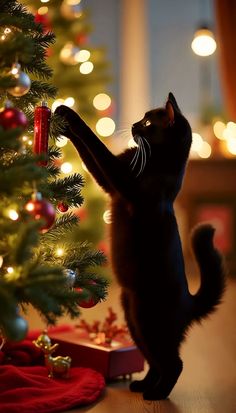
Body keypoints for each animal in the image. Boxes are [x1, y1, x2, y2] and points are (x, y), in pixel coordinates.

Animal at [54, 93, 225, 400]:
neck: (159, 162)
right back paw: (143, 385)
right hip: (133, 317)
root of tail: (189, 302)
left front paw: (70, 115)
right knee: (154, 361)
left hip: (148, 320)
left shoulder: (122, 180)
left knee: (174, 363)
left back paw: (157, 394)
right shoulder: (111, 185)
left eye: (147, 123)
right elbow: (91, 155)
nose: (134, 123)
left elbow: (95, 143)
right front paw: (62, 119)